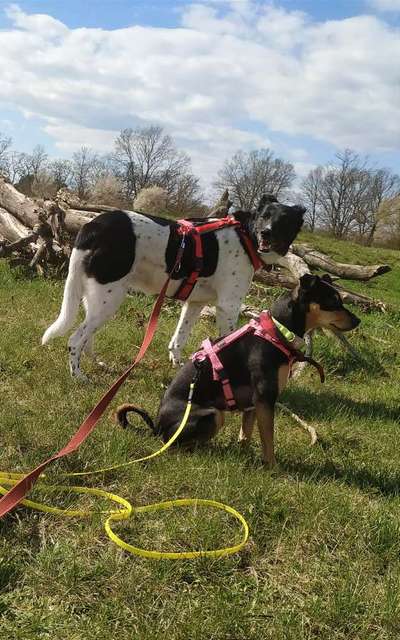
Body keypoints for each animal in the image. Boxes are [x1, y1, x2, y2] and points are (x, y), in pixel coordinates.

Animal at [43, 192, 304, 378]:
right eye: (265, 216)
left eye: (284, 221)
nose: (266, 233)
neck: (245, 236)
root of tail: (93, 226)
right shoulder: (228, 306)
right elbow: (227, 343)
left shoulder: (195, 303)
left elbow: (179, 337)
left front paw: (179, 366)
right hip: (110, 298)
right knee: (75, 339)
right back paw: (79, 377)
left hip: (98, 297)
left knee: (86, 337)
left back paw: (97, 363)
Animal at [115, 274, 360, 464]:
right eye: (333, 301)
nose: (358, 321)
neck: (277, 331)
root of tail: (156, 427)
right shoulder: (265, 398)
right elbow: (268, 439)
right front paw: (272, 468)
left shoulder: (253, 404)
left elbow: (247, 435)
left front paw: (245, 458)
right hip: (212, 415)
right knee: (175, 443)